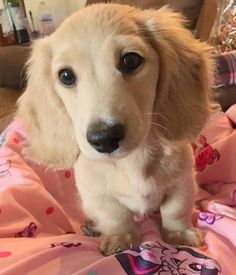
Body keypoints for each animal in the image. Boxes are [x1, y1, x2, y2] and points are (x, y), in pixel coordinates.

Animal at [17, 3, 214, 256]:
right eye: (66, 76)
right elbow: (115, 216)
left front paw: (179, 235)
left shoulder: (182, 182)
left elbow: (176, 210)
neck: (131, 161)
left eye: (130, 60)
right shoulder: (97, 195)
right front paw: (121, 238)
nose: (104, 138)